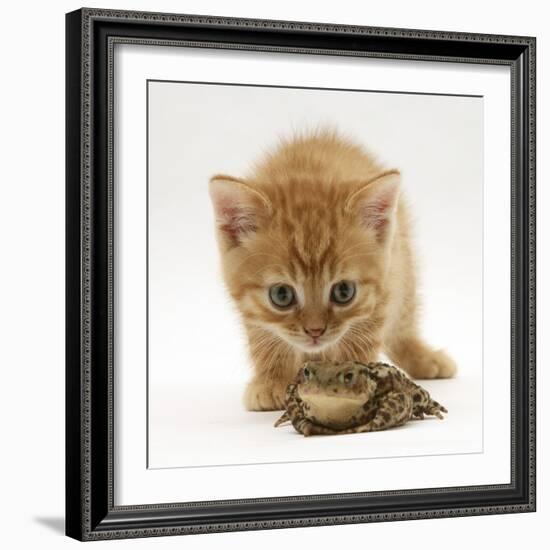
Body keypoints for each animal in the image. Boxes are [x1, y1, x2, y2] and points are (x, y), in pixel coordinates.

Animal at [208, 132, 458, 412]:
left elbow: (361, 341)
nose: (315, 331)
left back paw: (424, 358)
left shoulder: (383, 289)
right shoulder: (252, 311)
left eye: (344, 291)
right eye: (281, 295)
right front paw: (272, 381)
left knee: (403, 325)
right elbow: (265, 340)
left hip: (403, 266)